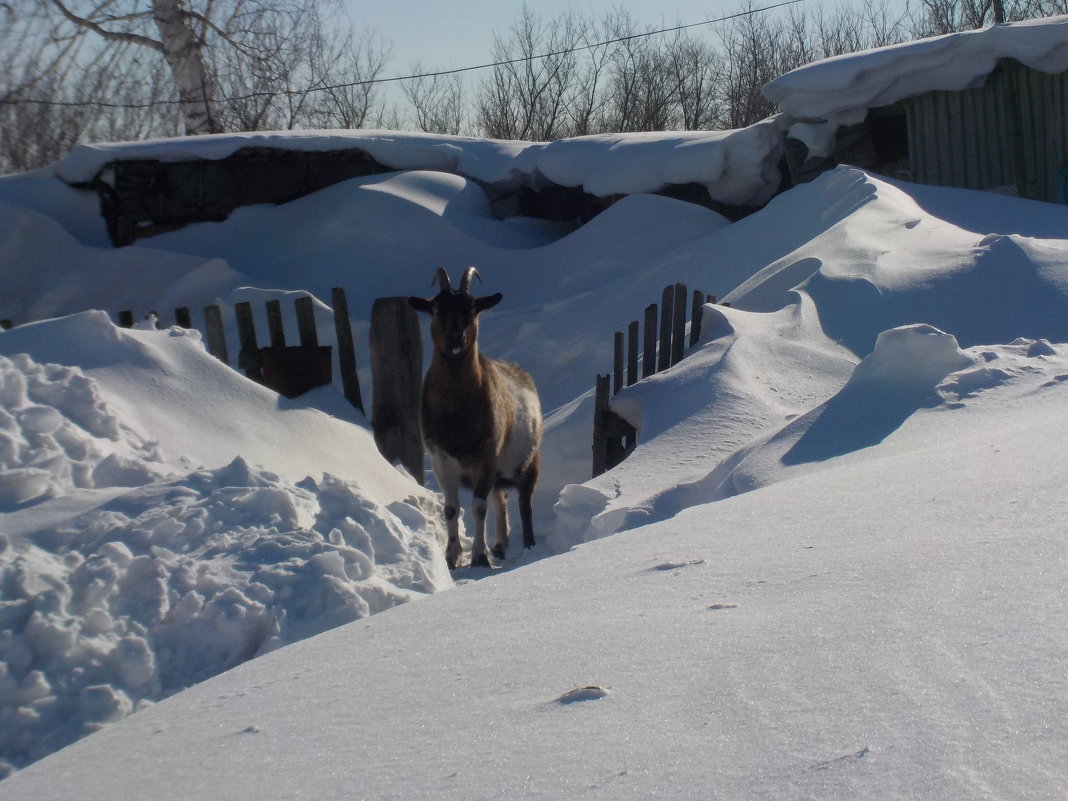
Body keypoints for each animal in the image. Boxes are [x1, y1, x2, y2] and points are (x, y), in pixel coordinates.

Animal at [407, 270, 542, 572]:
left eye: (472, 308)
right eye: (437, 308)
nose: (456, 337)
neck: (457, 416)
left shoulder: (486, 457)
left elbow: (478, 507)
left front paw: (479, 557)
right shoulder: (441, 460)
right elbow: (451, 509)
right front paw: (452, 557)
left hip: (528, 461)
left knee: (524, 503)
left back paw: (528, 544)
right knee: (500, 499)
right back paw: (500, 546)